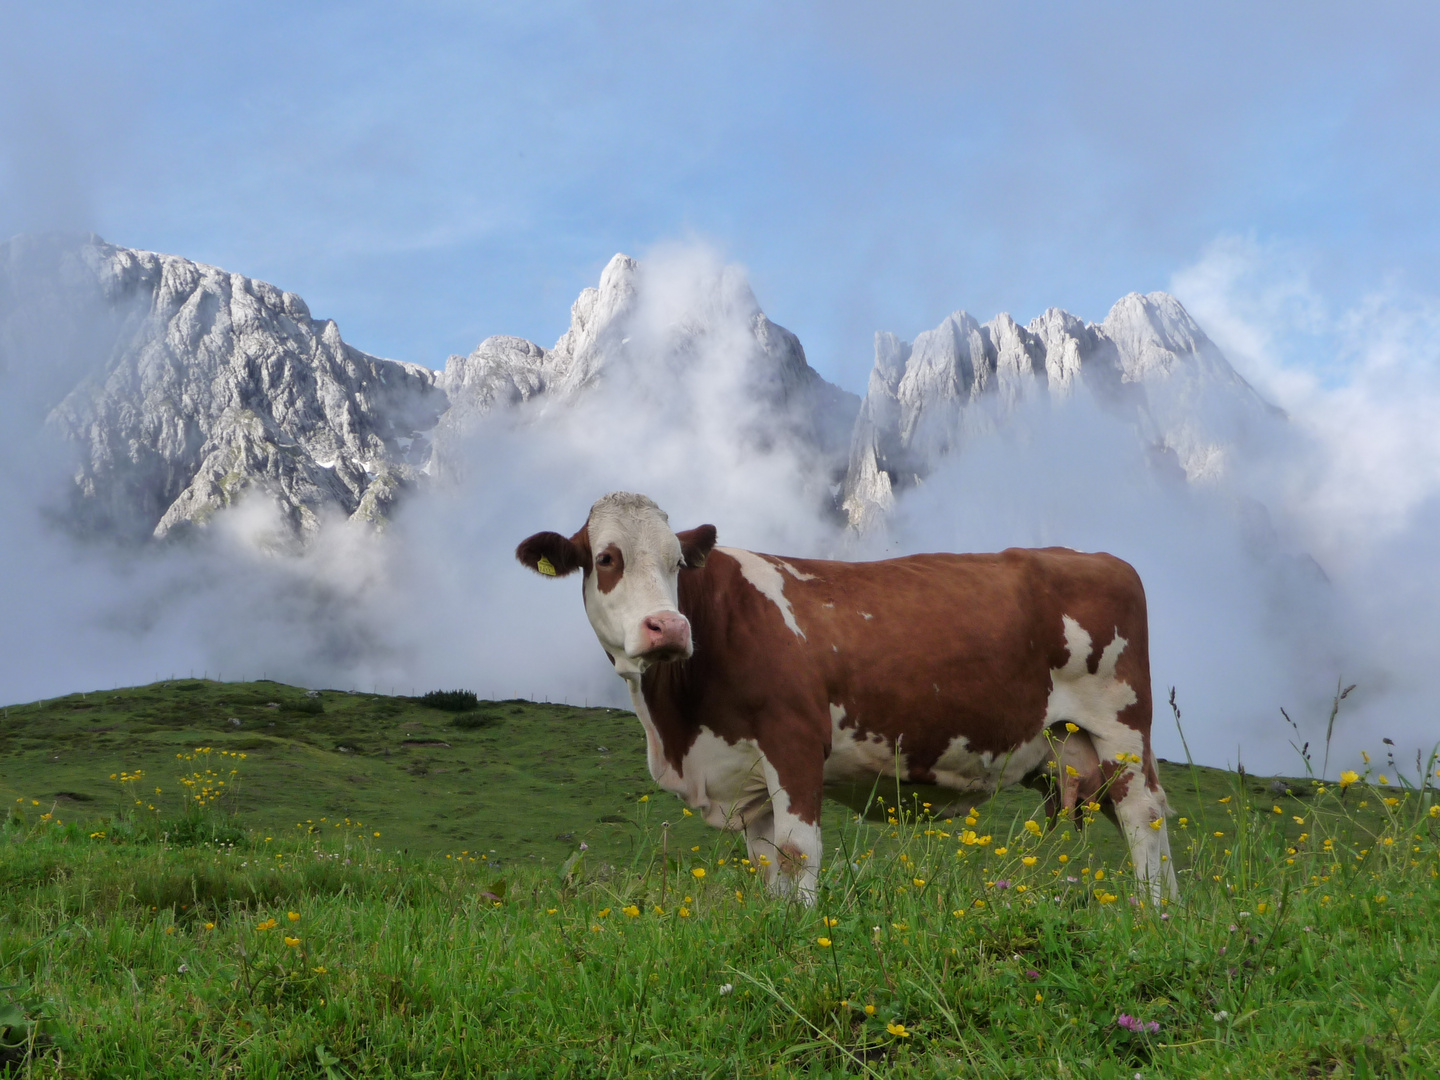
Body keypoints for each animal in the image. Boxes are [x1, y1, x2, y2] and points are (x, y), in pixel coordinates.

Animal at [524, 492, 1175, 904]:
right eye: (606, 558)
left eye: (678, 561)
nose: (669, 628)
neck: (677, 733)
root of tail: (1098, 558)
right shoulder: (747, 778)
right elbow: (769, 866)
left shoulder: (793, 741)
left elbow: (798, 853)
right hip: (1076, 748)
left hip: (1120, 727)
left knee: (1145, 818)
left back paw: (1154, 917)